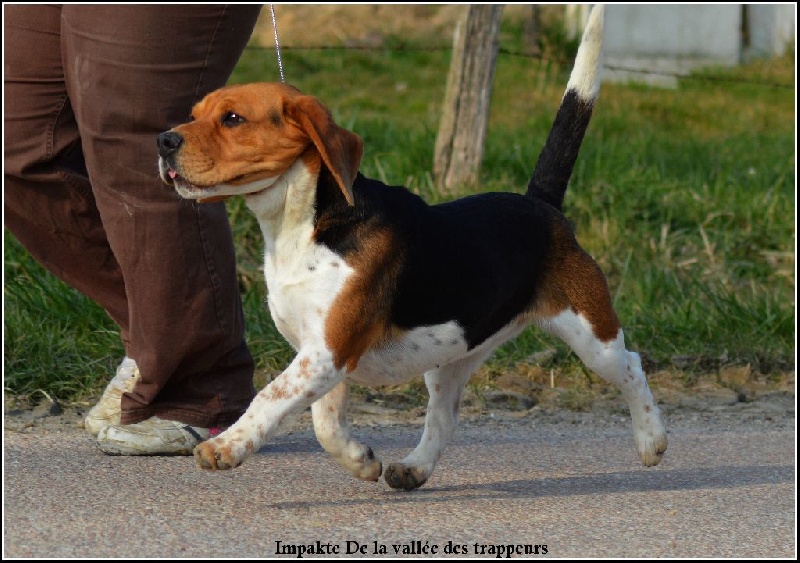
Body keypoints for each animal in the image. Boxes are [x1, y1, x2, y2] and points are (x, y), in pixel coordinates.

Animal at [159, 3, 664, 490]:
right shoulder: (325, 353)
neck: (307, 224)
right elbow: (324, 423)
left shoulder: (326, 350)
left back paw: (652, 439)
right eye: (195, 112)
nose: (163, 140)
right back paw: (415, 468)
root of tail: (542, 205)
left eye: (232, 118)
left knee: (633, 366)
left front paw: (226, 447)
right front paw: (361, 461)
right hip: (452, 355)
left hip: (591, 335)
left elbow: (270, 397)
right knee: (444, 418)